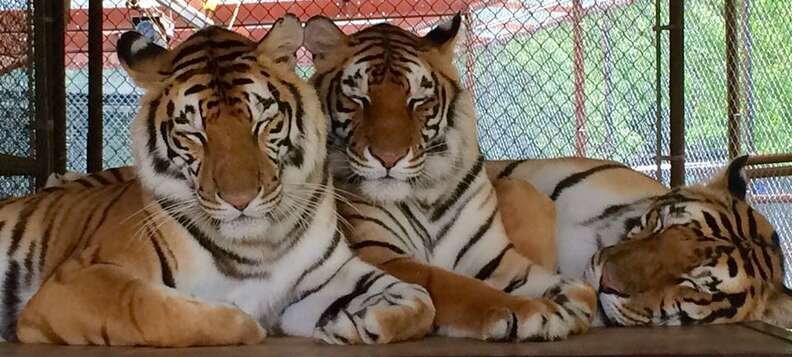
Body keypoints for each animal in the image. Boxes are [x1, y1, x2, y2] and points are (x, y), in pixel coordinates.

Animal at [0, 16, 436, 344]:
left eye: (262, 122)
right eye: (194, 133)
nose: (240, 200)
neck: (260, 245)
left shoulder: (328, 273)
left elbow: (420, 299)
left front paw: (353, 322)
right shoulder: (76, 281)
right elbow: (149, 308)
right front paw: (245, 317)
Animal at [306, 13, 596, 340]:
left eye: (417, 100)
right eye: (358, 97)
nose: (389, 158)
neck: (425, 191)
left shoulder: (493, 256)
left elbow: (581, 291)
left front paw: (568, 299)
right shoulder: (379, 254)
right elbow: (454, 285)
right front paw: (535, 311)